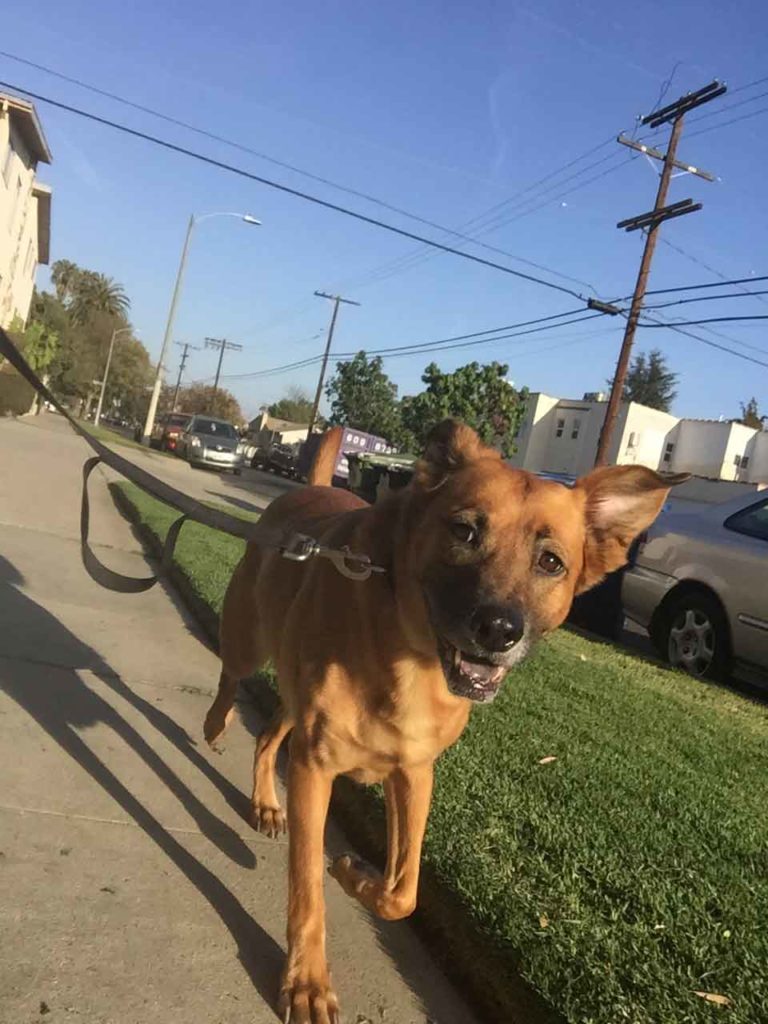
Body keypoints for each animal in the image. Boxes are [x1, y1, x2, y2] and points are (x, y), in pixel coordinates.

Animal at [204, 419, 684, 1019]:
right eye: (465, 531)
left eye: (551, 561)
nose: (498, 629)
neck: (411, 659)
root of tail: (306, 490)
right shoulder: (316, 769)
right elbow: (307, 887)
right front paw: (308, 982)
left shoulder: (413, 774)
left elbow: (403, 894)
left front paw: (355, 875)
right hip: (251, 641)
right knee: (230, 679)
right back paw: (215, 726)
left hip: (295, 696)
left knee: (271, 733)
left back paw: (267, 803)